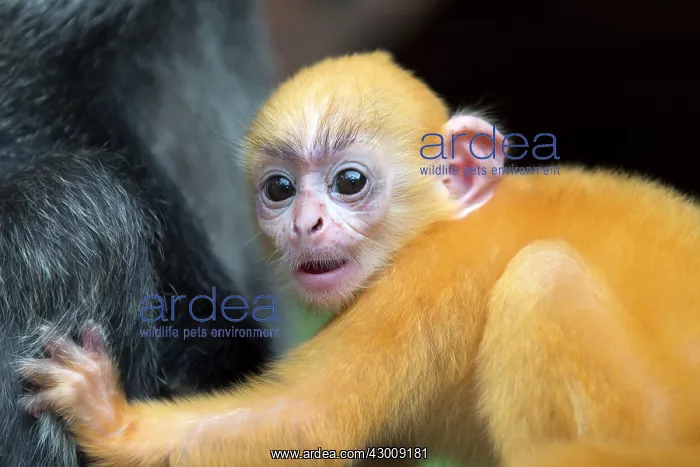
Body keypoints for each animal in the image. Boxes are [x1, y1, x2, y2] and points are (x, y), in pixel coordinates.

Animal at [17, 51, 700, 466]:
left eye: (349, 182)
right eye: (279, 189)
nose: (305, 224)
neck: (437, 227)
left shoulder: (431, 280)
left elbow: (311, 420)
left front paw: (109, 419)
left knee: (543, 279)